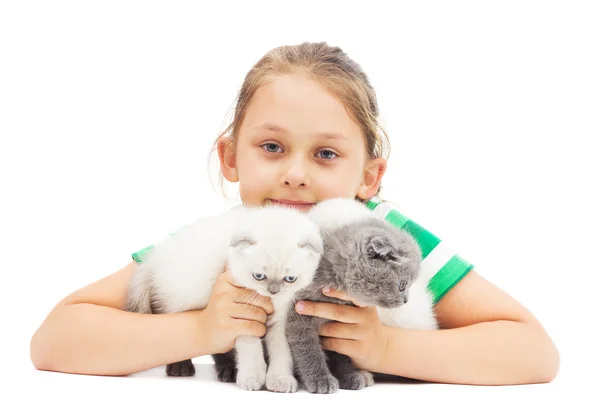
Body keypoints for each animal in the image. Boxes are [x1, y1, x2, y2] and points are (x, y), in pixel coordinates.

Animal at [122, 204, 326, 390]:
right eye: (258, 276)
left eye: (290, 279)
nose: (273, 291)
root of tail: (155, 255)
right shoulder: (243, 313)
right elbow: (250, 348)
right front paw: (252, 377)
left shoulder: (280, 320)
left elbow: (282, 352)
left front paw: (280, 379)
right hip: (180, 300)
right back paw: (181, 368)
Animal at [286, 217, 422, 394]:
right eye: (402, 285)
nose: (406, 300)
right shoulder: (298, 315)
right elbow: (308, 350)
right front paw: (321, 379)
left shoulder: (344, 327)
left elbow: (342, 354)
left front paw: (348, 376)